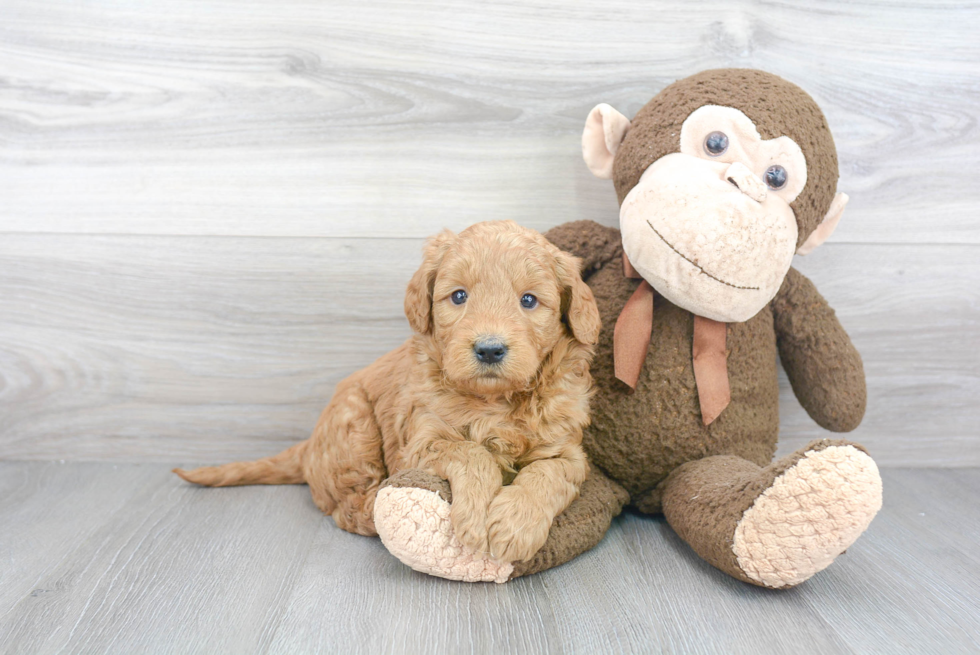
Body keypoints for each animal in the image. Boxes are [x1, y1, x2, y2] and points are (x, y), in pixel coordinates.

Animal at [180, 222, 600, 564]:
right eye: (458, 296)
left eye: (529, 300)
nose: (490, 349)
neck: (495, 401)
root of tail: (309, 447)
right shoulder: (420, 442)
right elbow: (472, 453)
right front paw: (477, 514)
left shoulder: (567, 450)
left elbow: (548, 473)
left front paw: (515, 525)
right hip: (354, 426)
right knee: (346, 506)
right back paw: (378, 512)